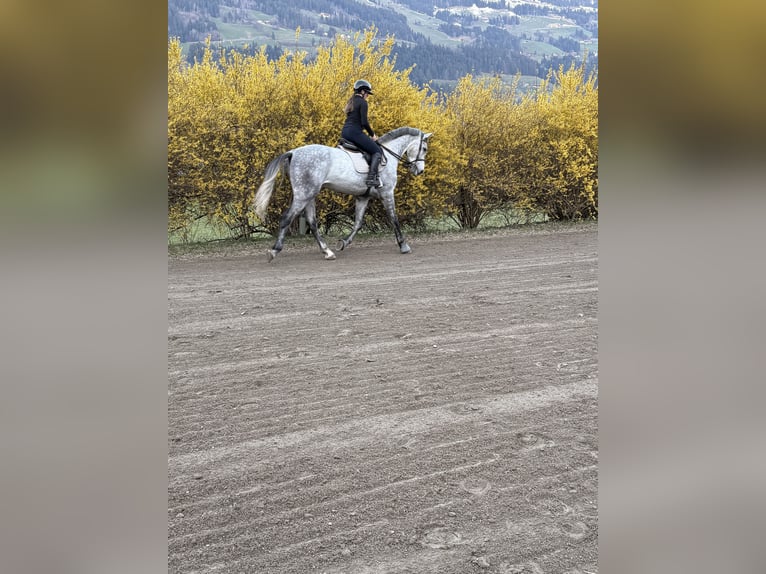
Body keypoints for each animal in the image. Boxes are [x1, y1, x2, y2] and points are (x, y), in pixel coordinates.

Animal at [253, 126, 432, 261]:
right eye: (424, 149)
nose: (420, 171)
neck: (389, 154)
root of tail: (293, 153)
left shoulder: (363, 197)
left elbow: (358, 223)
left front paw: (343, 243)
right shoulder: (387, 193)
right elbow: (394, 219)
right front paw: (404, 245)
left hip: (309, 195)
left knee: (312, 222)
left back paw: (327, 252)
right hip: (304, 194)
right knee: (287, 218)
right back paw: (274, 251)